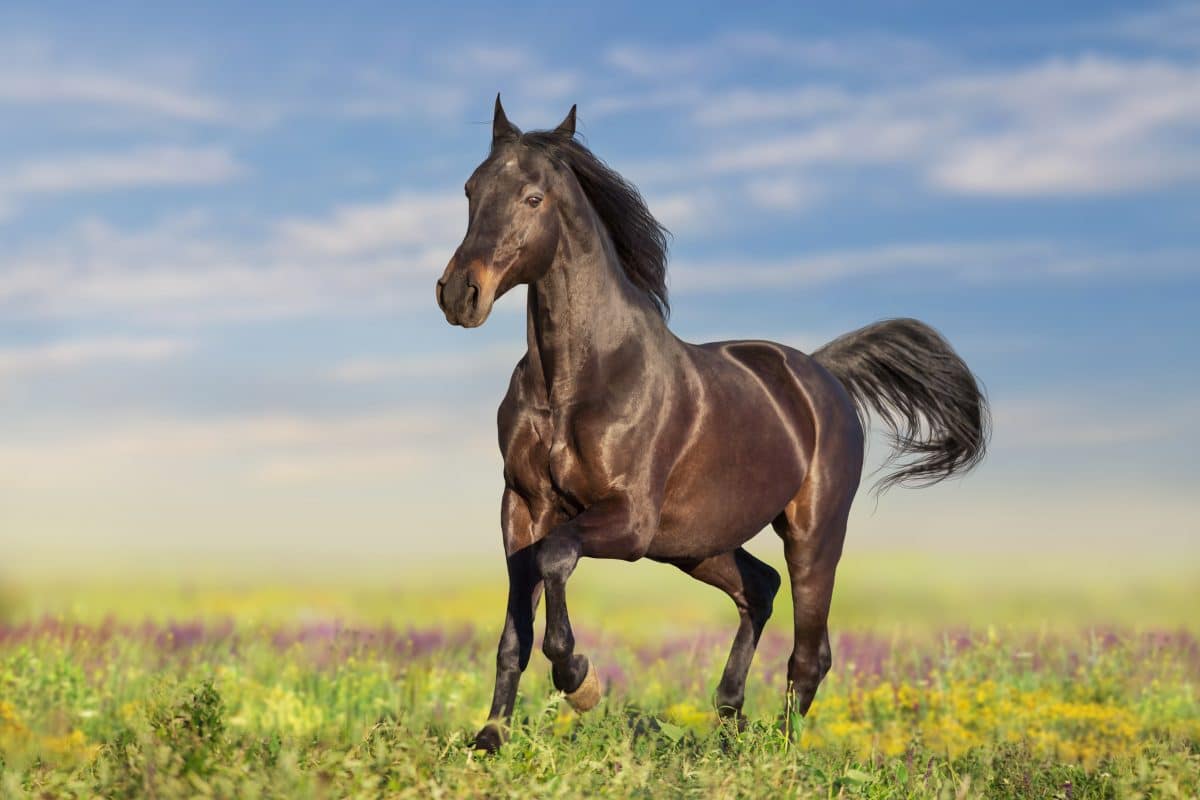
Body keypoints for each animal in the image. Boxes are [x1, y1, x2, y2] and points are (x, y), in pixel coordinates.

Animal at [436, 97, 988, 753]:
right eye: (470, 190)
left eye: (532, 197)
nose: (459, 294)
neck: (576, 379)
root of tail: (823, 373)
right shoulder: (523, 507)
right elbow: (514, 634)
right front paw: (490, 739)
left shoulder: (629, 520)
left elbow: (556, 559)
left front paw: (580, 681)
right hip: (694, 545)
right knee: (761, 587)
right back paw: (729, 715)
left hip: (812, 532)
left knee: (810, 651)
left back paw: (779, 751)